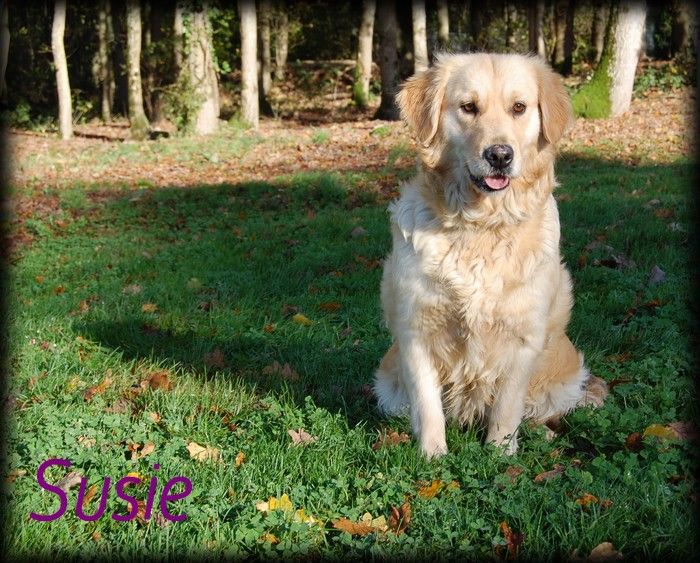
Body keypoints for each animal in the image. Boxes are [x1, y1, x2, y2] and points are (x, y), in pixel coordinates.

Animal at [374, 53, 608, 458]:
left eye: (519, 108)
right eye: (468, 107)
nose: (499, 155)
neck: (481, 226)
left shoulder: (524, 337)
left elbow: (507, 407)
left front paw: (500, 453)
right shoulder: (416, 330)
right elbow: (428, 404)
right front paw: (432, 455)